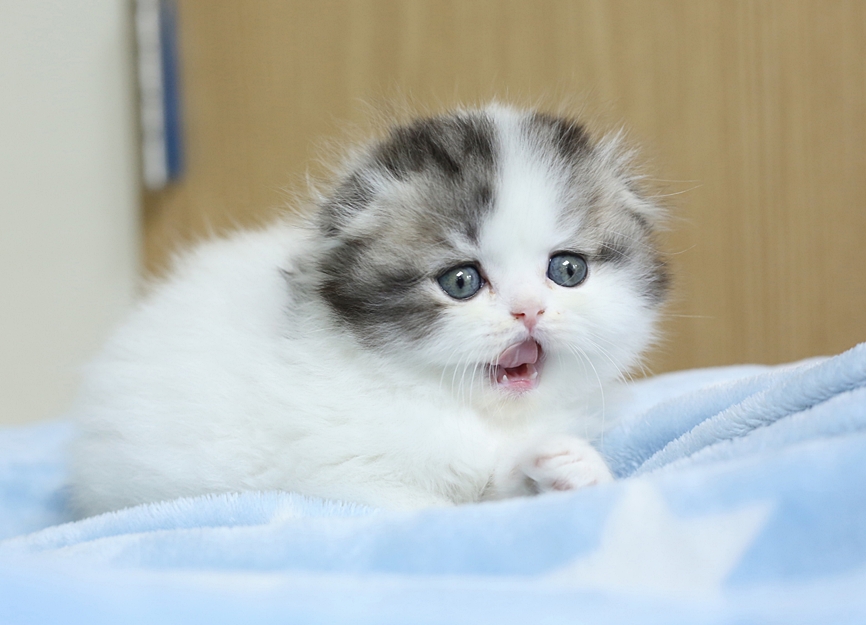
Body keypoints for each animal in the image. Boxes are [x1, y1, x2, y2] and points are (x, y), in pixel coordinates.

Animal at [69, 104, 668, 516]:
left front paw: (569, 473)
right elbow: (429, 508)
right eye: (461, 282)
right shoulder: (339, 478)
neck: (461, 408)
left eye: (567, 271)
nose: (528, 312)